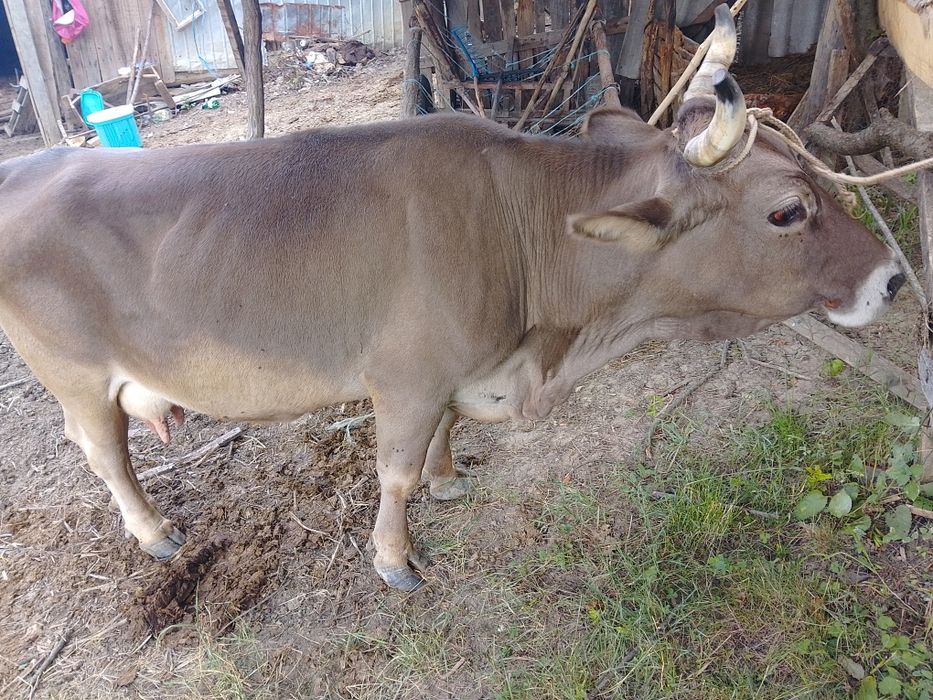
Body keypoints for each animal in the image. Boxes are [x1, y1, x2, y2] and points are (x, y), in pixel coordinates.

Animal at [0, 6, 905, 591]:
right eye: (787, 210)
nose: (892, 279)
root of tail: (34, 164)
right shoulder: (404, 376)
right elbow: (394, 472)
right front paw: (395, 558)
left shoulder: (452, 375)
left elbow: (445, 432)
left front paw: (448, 481)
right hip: (77, 377)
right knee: (105, 454)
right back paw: (156, 535)